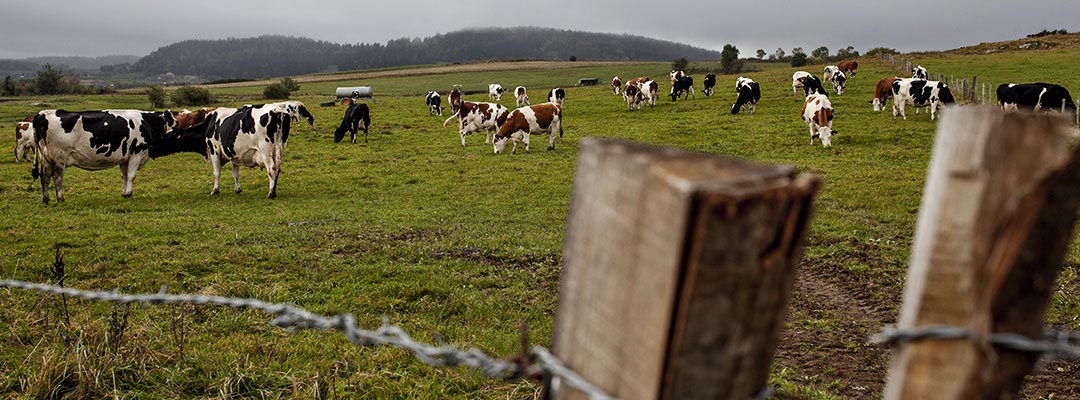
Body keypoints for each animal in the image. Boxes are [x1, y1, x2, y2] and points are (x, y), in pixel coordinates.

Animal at [31, 108, 203, 204]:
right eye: (176, 126)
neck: (148, 123)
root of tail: (42, 114)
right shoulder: (136, 153)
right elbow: (132, 175)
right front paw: (129, 193)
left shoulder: (125, 158)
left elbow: (125, 176)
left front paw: (124, 193)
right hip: (59, 157)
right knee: (57, 178)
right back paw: (60, 198)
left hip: (45, 157)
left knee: (44, 177)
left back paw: (46, 199)